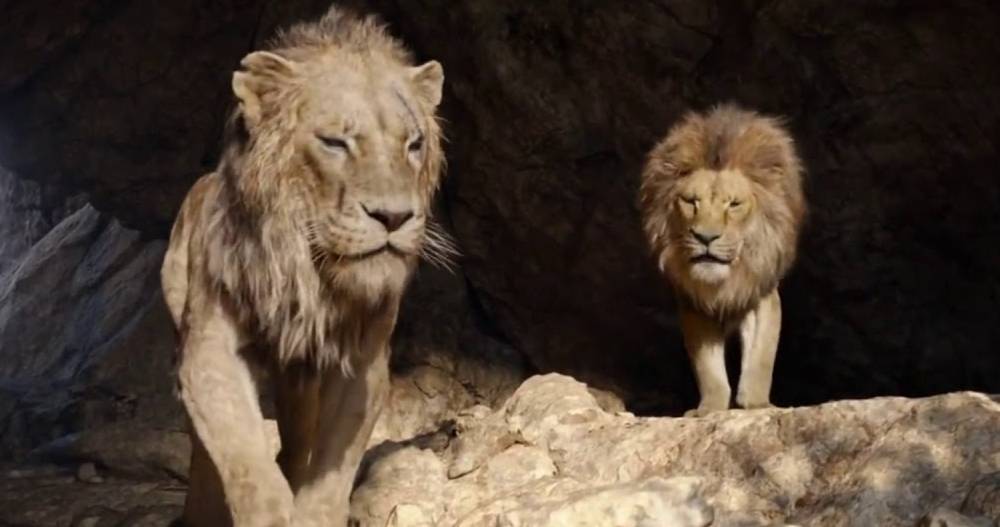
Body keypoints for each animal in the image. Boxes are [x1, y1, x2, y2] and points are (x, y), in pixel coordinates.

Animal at [160, 8, 450, 527]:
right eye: (335, 142)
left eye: (413, 145)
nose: (394, 217)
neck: (310, 276)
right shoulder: (208, 351)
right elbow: (244, 459)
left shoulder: (363, 365)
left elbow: (331, 471)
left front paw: (312, 510)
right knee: (206, 453)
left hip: (298, 380)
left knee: (295, 445)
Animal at [639, 104, 806, 417]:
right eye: (691, 201)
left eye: (734, 204)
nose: (706, 237)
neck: (725, 282)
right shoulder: (693, 305)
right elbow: (708, 370)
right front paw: (709, 409)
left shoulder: (760, 293)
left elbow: (762, 356)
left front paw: (757, 404)